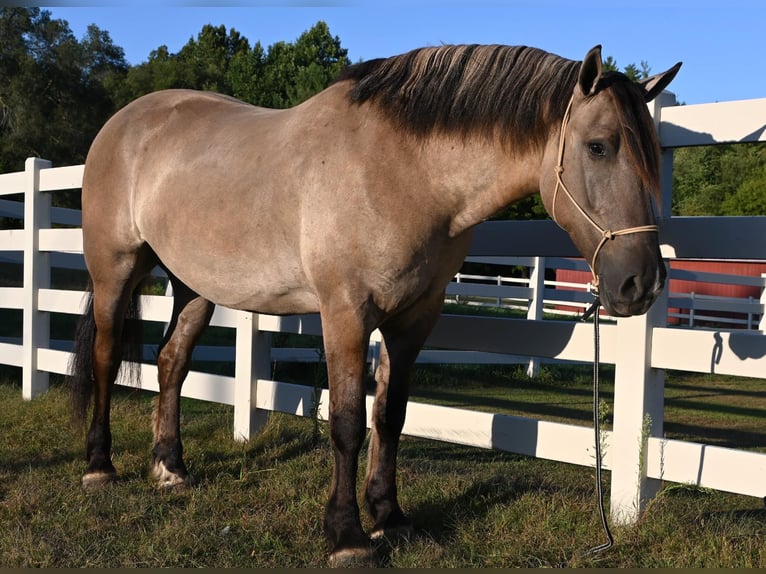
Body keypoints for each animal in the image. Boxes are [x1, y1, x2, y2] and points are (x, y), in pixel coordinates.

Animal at [67, 43, 680, 566]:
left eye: (651, 153)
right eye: (598, 145)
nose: (642, 283)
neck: (404, 171)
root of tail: (125, 122)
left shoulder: (413, 320)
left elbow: (391, 415)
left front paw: (390, 517)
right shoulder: (345, 313)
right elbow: (346, 421)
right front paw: (347, 535)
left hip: (194, 286)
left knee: (171, 363)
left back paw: (170, 468)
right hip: (115, 269)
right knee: (105, 358)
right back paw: (99, 466)